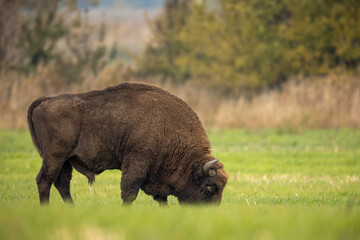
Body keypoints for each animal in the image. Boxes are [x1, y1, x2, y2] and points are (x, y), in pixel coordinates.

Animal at [27, 82, 228, 204]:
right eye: (211, 187)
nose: (211, 211)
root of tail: (46, 101)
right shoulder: (137, 161)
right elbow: (129, 191)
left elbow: (160, 197)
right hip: (54, 157)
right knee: (44, 181)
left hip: (66, 160)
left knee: (62, 184)